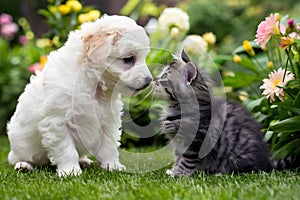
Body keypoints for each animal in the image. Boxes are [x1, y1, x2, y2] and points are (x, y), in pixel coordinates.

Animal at [7, 15, 152, 177]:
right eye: (128, 58)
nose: (149, 81)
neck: (92, 83)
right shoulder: (57, 122)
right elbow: (67, 150)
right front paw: (70, 171)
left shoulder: (108, 122)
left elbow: (108, 147)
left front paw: (113, 166)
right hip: (21, 145)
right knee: (18, 158)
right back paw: (24, 165)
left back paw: (84, 161)